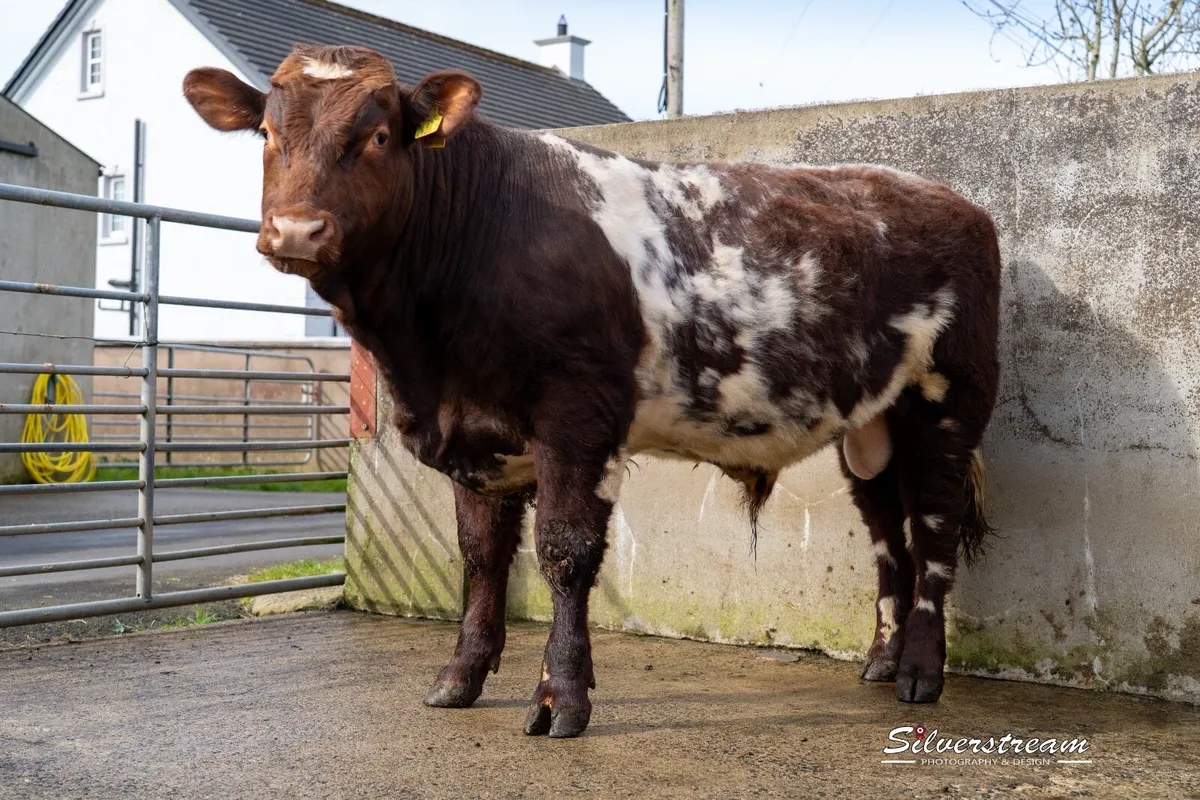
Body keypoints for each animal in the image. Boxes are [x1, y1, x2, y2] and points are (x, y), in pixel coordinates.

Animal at [183, 44, 1000, 739]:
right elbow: (481, 557)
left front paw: (559, 697)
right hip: (869, 424)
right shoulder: (475, 436)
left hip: (948, 401)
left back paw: (922, 673)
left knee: (931, 526)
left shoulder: (578, 417)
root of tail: (948, 197)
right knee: (887, 529)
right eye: (266, 132)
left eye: (380, 135)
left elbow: (564, 553)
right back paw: (881, 659)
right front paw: (460, 678)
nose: (296, 230)